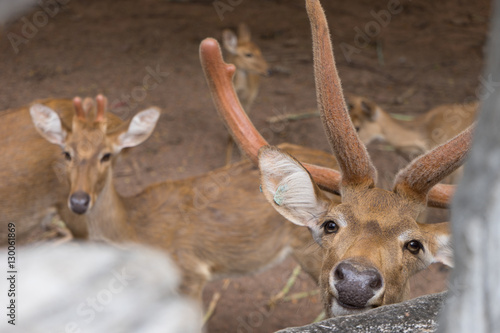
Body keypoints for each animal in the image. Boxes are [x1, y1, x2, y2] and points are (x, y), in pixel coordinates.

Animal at [222, 22, 270, 164]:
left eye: (260, 50)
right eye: (248, 54)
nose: (268, 70)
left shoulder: (248, 100)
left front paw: (242, 159)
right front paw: (227, 163)